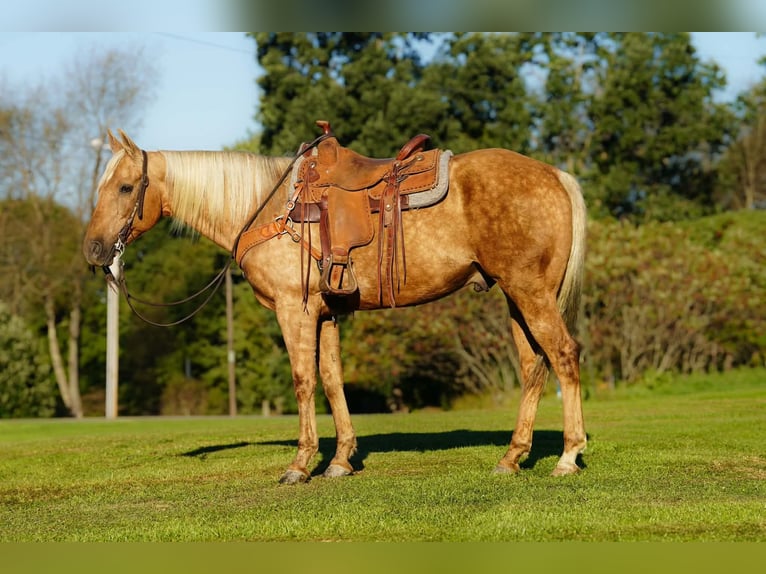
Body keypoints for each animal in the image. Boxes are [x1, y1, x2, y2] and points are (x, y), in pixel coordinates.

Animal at [83, 129, 588, 484]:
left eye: (126, 187)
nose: (93, 249)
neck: (267, 208)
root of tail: (556, 175)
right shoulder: (325, 315)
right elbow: (332, 381)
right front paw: (341, 460)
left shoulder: (295, 311)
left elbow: (303, 381)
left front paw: (300, 464)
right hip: (515, 298)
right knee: (534, 366)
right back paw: (512, 457)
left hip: (530, 292)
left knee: (563, 356)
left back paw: (568, 455)